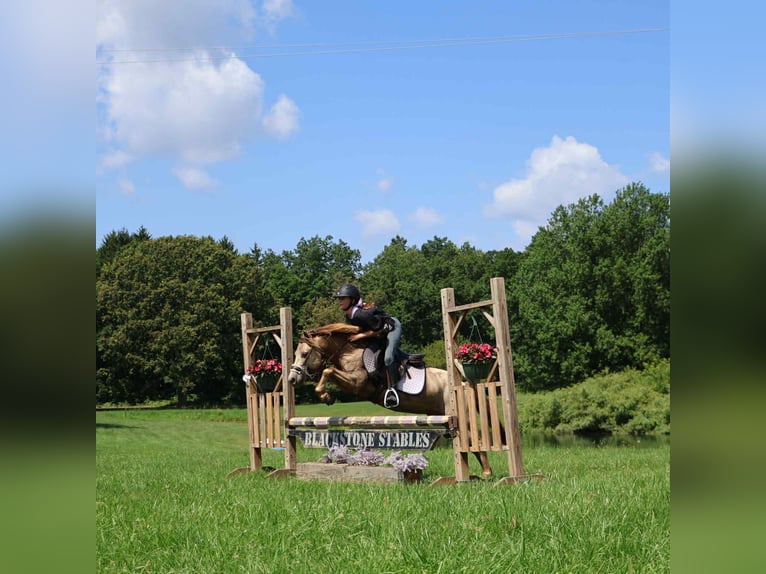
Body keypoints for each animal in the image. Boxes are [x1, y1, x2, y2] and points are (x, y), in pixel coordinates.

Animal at [286, 323, 496, 476]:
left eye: (304, 354)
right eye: (295, 354)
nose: (291, 379)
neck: (348, 351)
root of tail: (463, 384)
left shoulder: (359, 384)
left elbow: (328, 371)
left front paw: (326, 396)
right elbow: (328, 371)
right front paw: (325, 395)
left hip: (460, 418)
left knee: (473, 441)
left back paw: (486, 473)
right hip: (442, 417)